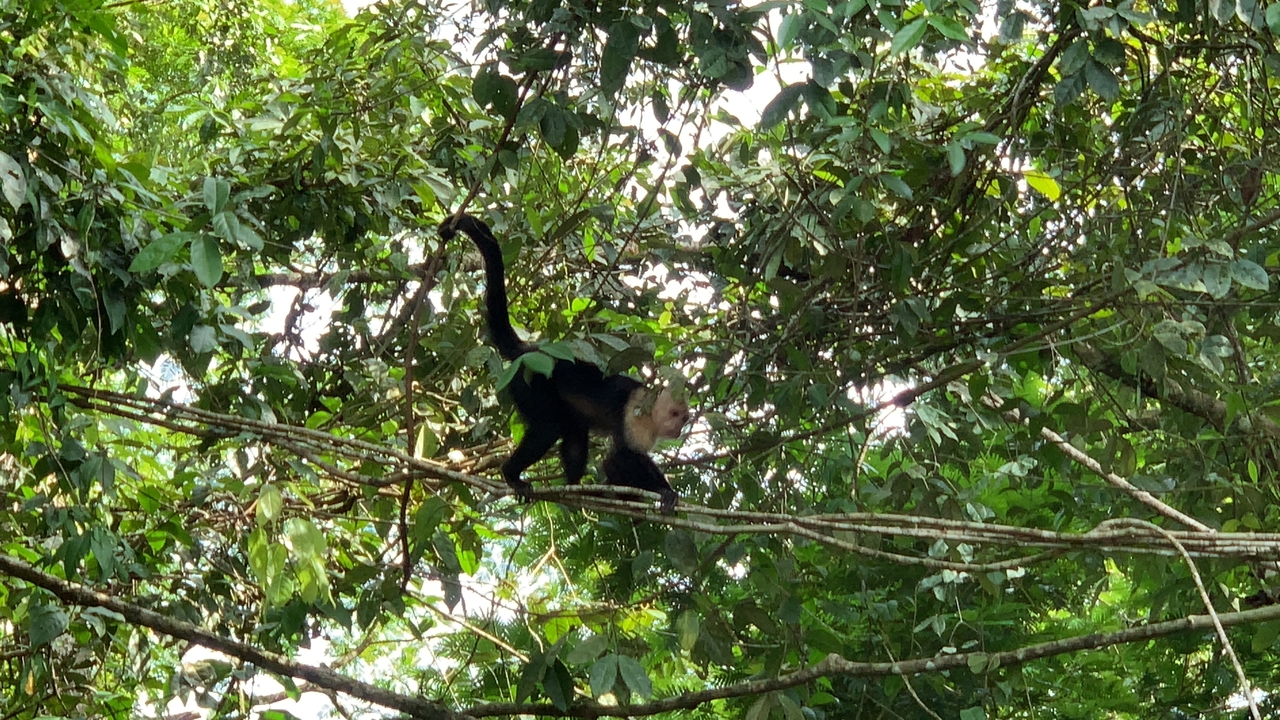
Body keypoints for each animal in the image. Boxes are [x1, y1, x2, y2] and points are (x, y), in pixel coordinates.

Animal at [438, 213, 689, 510]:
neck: (651, 412)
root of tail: (531, 350)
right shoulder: (635, 416)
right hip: (530, 382)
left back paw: (575, 488)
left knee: (574, 432)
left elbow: (616, 461)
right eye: (677, 415)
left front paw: (627, 494)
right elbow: (621, 457)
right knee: (548, 428)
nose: (679, 429)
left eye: (684, 419)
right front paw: (663, 491)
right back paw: (512, 475)